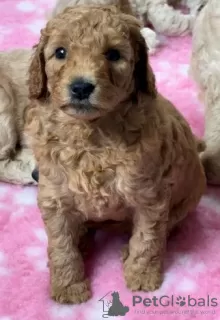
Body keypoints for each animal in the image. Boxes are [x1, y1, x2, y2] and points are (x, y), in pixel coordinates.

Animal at [26, 6, 206, 304]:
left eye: (113, 55)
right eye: (60, 52)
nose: (81, 87)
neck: (91, 133)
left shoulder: (150, 196)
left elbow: (147, 239)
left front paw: (142, 276)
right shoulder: (54, 195)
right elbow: (61, 243)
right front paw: (69, 287)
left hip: (184, 202)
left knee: (165, 227)